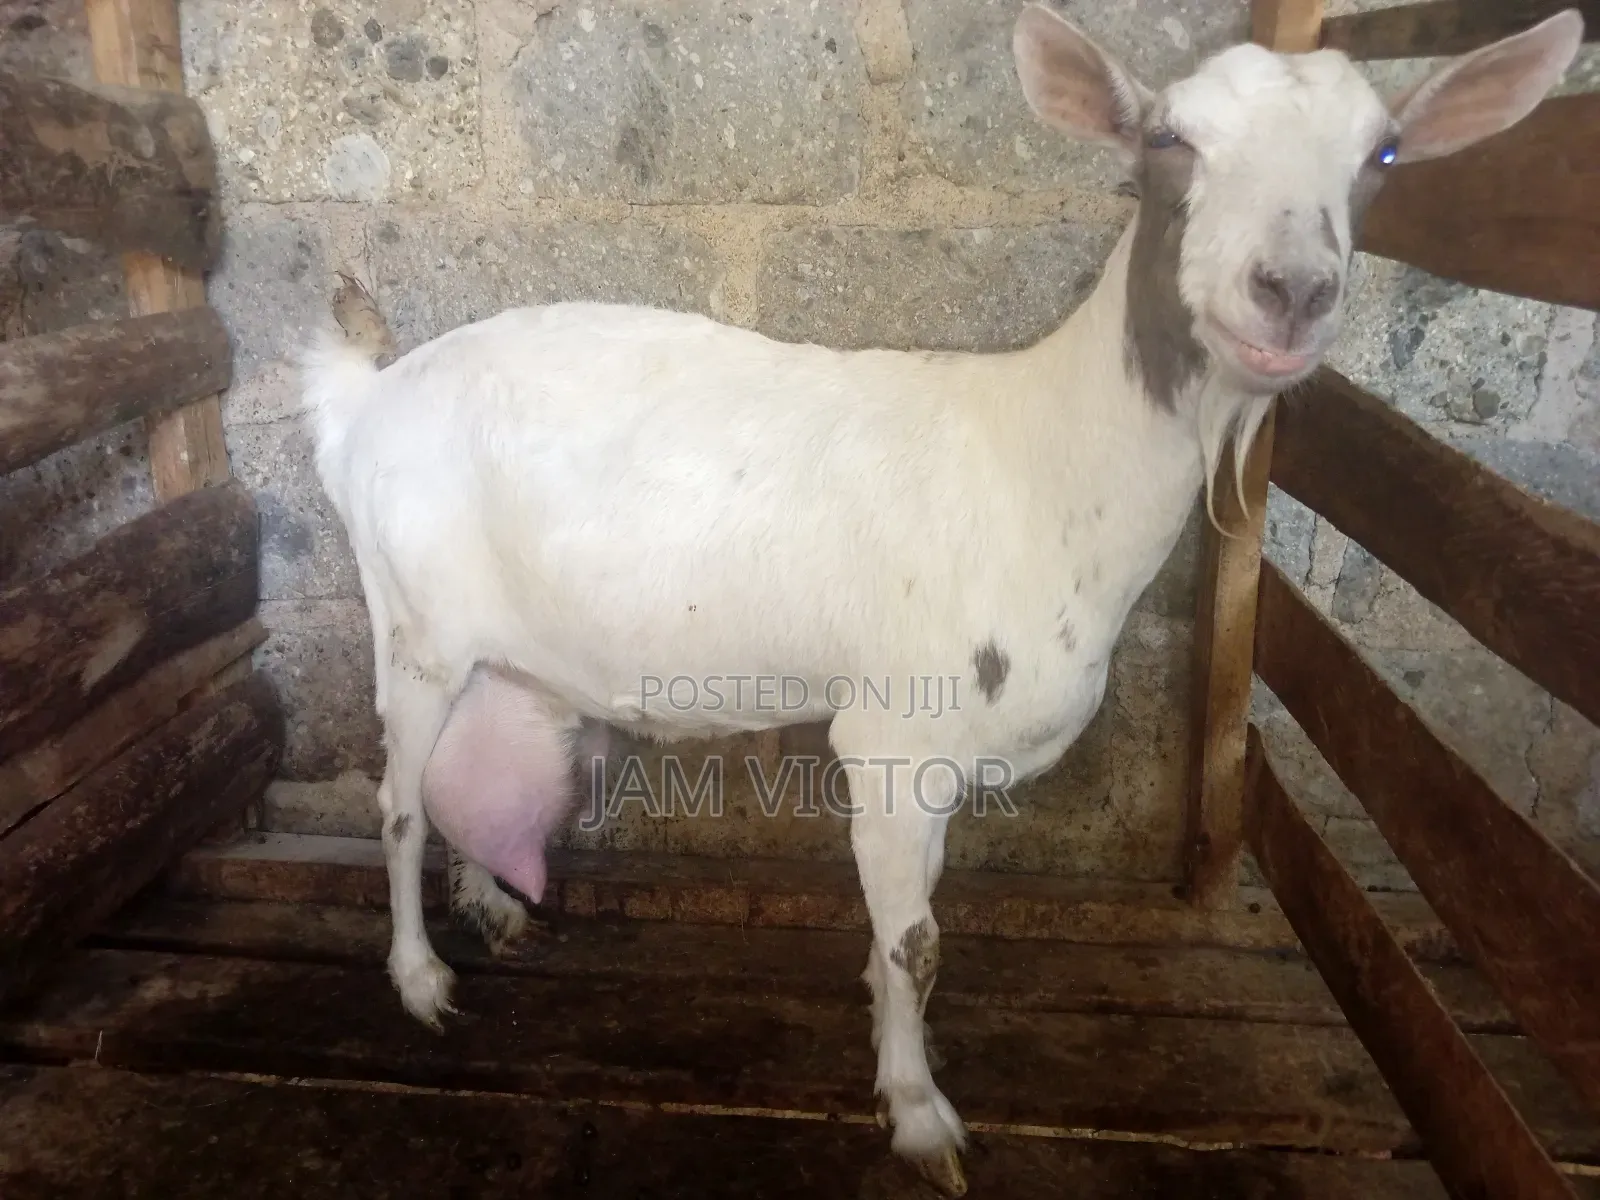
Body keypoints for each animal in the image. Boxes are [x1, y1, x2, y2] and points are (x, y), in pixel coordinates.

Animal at [302, 7, 1581, 1193]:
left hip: (498, 655)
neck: (1046, 466)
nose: (1293, 292)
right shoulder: (891, 734)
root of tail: (364, 399)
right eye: (1168, 140)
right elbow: (918, 939)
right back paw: (420, 979)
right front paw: (920, 1117)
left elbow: (903, 928)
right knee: (399, 800)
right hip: (414, 629)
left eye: (1382, 154)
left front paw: (887, 1044)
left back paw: (493, 905)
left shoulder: (941, 761)